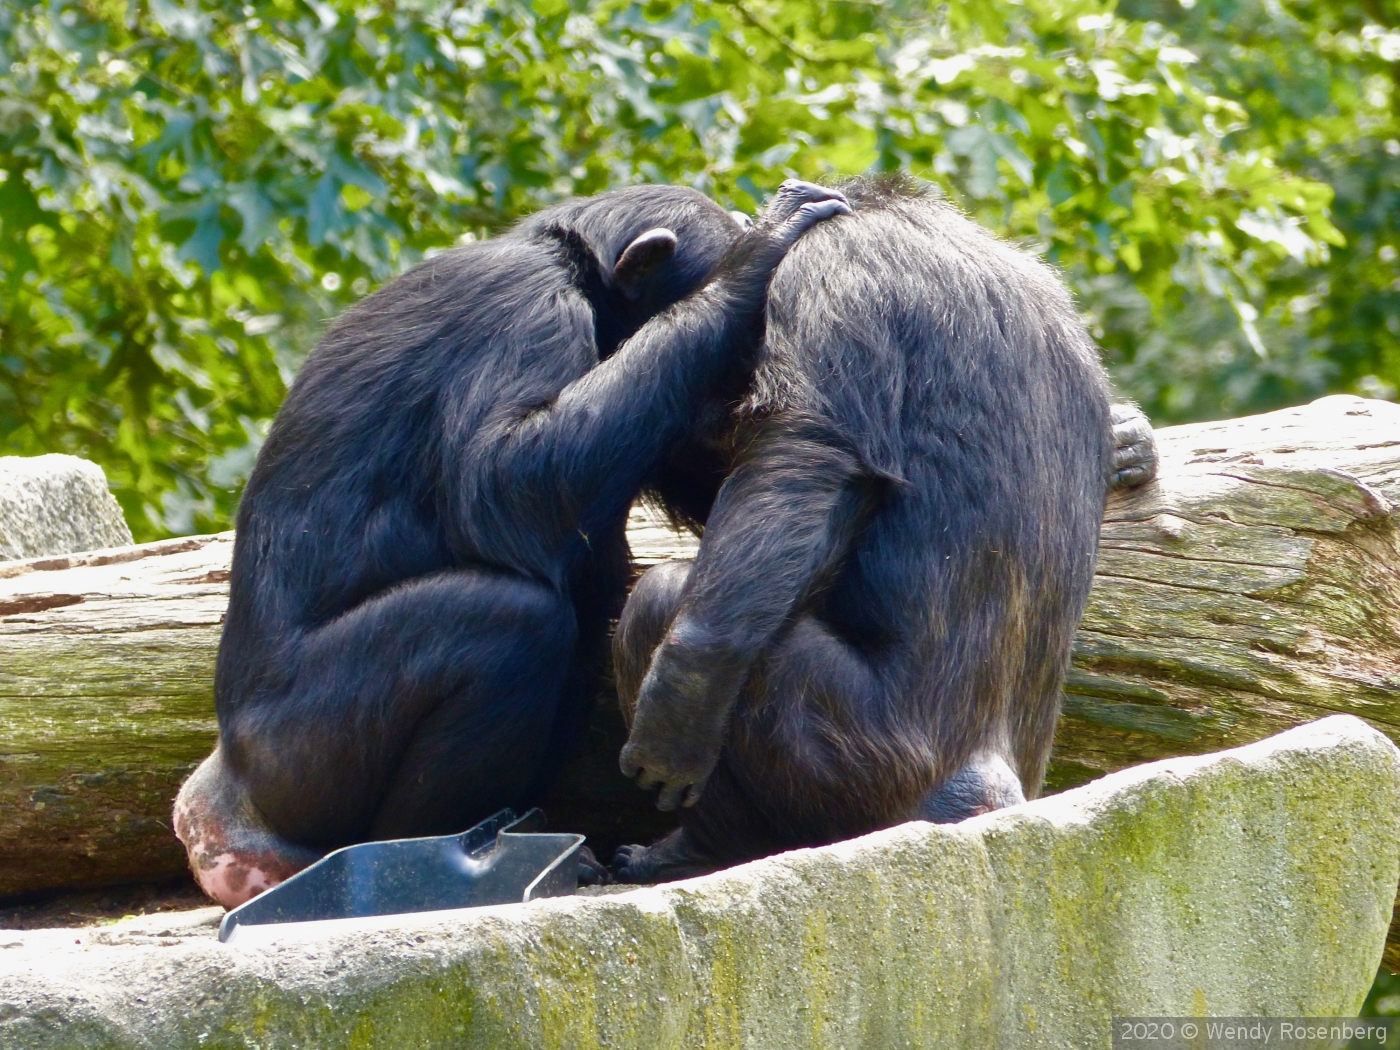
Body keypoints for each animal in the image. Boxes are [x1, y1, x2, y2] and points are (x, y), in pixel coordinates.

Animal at [175, 177, 851, 907]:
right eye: (742, 336)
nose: (745, 374)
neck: (573, 269)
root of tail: (220, 807)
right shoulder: (528, 316)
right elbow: (502, 479)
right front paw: (754, 259)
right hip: (303, 755)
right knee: (509, 621)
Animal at [613, 177, 1159, 884]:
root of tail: (984, 794)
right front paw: (1125, 440)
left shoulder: (830, 273)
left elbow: (807, 451)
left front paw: (682, 698)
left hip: (860, 770)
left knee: (661, 600)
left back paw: (697, 848)